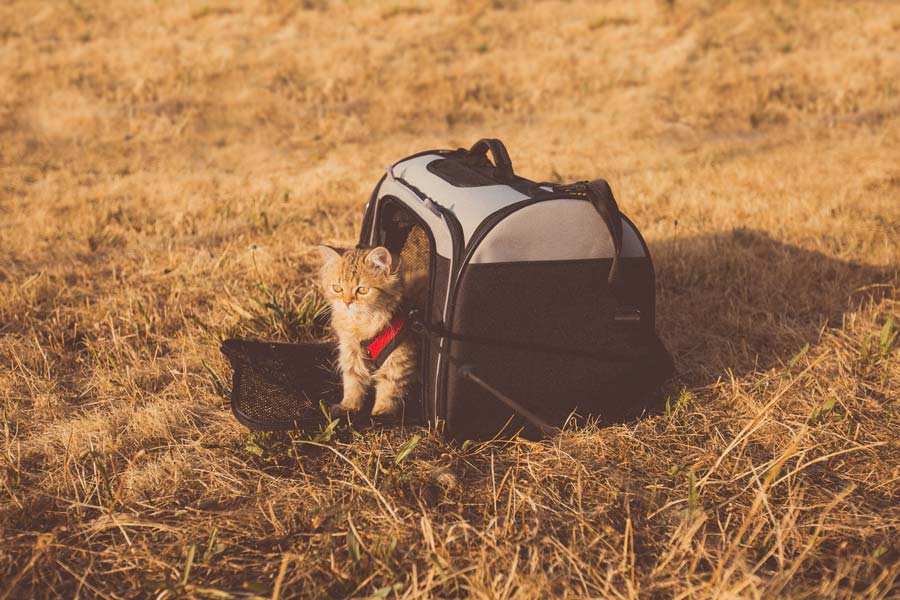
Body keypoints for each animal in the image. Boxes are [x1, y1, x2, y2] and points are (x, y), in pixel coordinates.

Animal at [314, 244, 416, 418]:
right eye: (337, 288)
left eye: (362, 290)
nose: (347, 302)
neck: (361, 325)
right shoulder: (351, 353)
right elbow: (352, 384)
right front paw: (348, 407)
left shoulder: (398, 361)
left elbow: (388, 391)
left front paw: (381, 413)